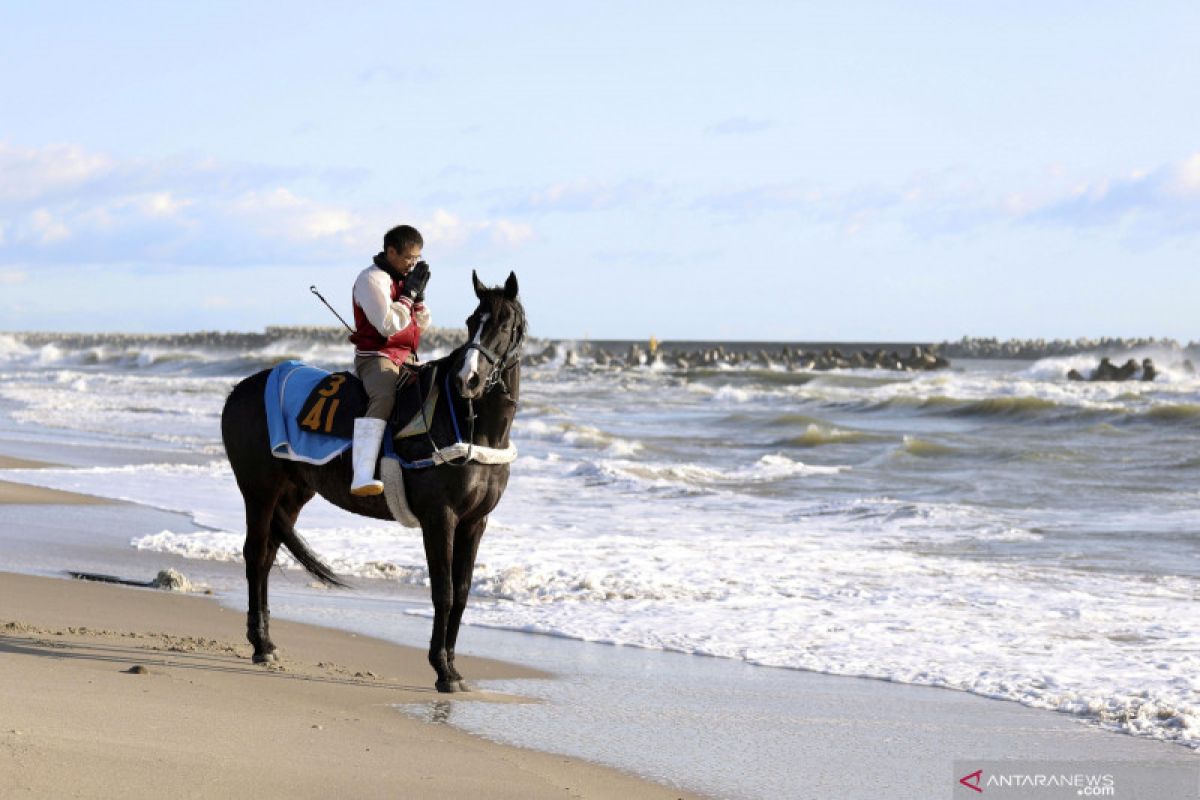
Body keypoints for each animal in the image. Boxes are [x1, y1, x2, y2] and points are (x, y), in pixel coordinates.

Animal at [223, 272, 523, 690]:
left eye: (505, 324)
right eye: (470, 322)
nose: (469, 379)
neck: (468, 424)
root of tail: (240, 389)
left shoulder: (475, 521)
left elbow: (462, 594)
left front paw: (452, 667)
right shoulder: (440, 518)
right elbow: (444, 592)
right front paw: (442, 669)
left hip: (293, 494)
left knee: (266, 557)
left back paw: (265, 641)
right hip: (259, 492)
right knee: (254, 555)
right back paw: (260, 644)